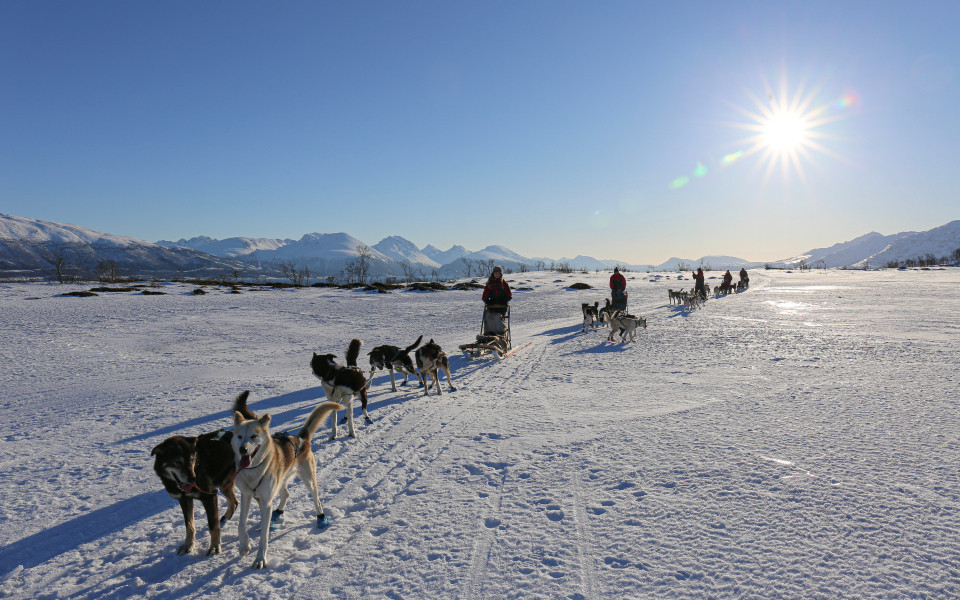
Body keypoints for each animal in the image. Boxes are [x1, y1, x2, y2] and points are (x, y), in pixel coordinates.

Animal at [232, 396, 344, 568]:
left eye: (253, 436)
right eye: (239, 437)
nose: (243, 449)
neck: (254, 469)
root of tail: (300, 438)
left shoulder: (266, 501)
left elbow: (264, 535)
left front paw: (260, 559)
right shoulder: (246, 495)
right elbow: (241, 524)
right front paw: (244, 546)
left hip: (309, 481)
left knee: (316, 499)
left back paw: (321, 517)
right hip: (281, 480)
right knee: (286, 493)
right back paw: (278, 512)